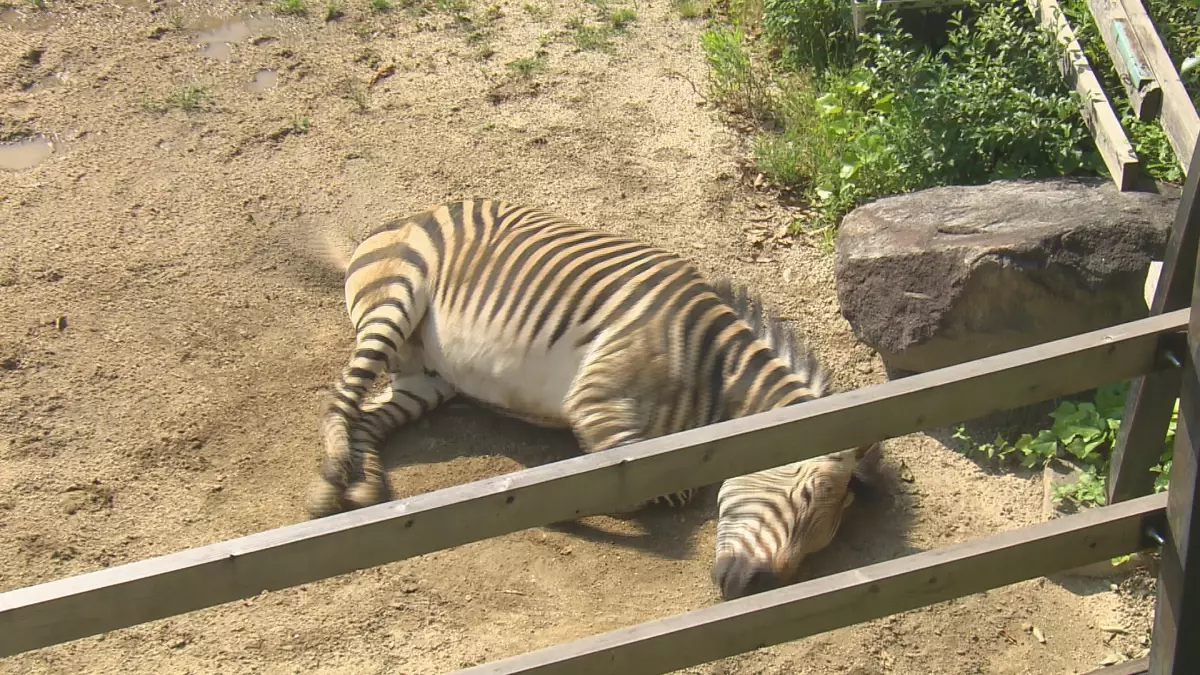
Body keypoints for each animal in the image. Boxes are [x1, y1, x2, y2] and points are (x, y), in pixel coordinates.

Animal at [309, 196, 883, 595]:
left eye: (825, 542)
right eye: (805, 497)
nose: (756, 589)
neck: (713, 373)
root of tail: (402, 219)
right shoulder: (596, 404)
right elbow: (649, 487)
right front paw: (558, 500)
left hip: (427, 379)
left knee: (369, 417)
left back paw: (363, 485)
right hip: (396, 299)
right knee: (341, 395)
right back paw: (331, 479)